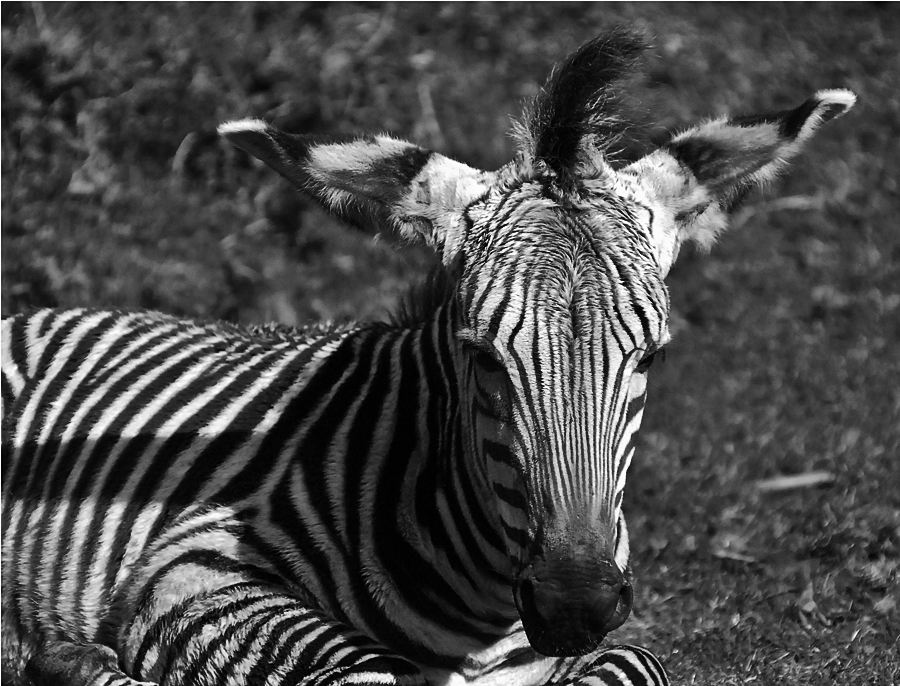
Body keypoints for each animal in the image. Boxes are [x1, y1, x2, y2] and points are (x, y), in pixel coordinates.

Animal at [1, 30, 854, 686]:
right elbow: (364, 672)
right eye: (482, 358)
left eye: (651, 360)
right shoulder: (187, 562)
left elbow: (639, 663)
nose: (573, 605)